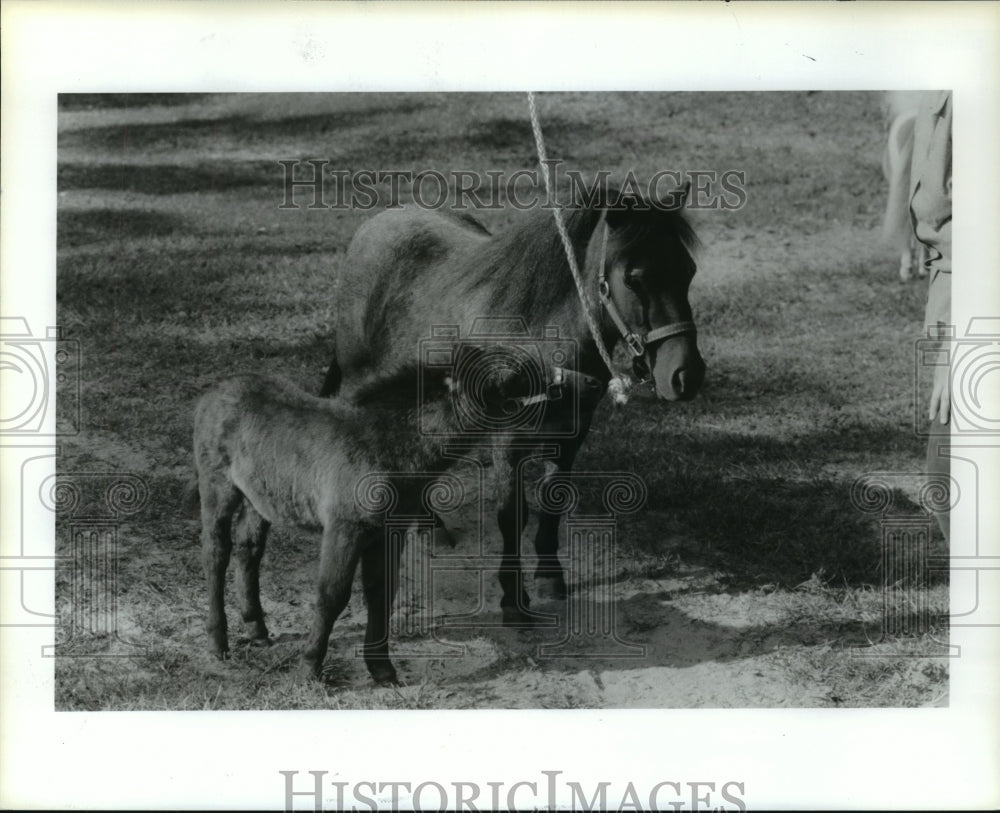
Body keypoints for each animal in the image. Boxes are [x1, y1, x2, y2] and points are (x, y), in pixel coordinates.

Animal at [320, 184, 704, 624]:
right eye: (635, 277)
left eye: (689, 270)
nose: (686, 376)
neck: (542, 336)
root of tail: (376, 224)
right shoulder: (508, 440)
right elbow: (511, 514)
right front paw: (512, 597)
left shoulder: (572, 431)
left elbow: (554, 499)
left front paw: (550, 577)